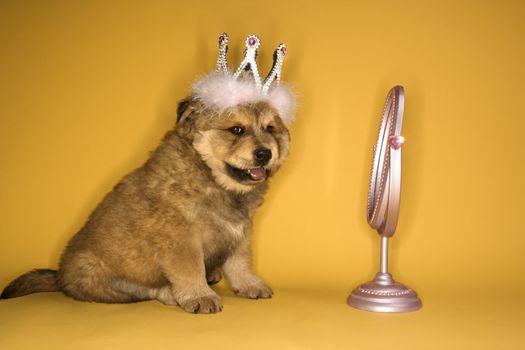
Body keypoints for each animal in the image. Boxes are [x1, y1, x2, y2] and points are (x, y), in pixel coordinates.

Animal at [0, 96, 288, 314]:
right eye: (236, 130)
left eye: (270, 129)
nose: (265, 153)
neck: (212, 178)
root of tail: (59, 276)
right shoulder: (181, 238)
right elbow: (190, 269)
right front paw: (200, 296)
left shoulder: (241, 231)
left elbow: (241, 263)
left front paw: (250, 285)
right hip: (99, 276)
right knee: (142, 291)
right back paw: (173, 293)